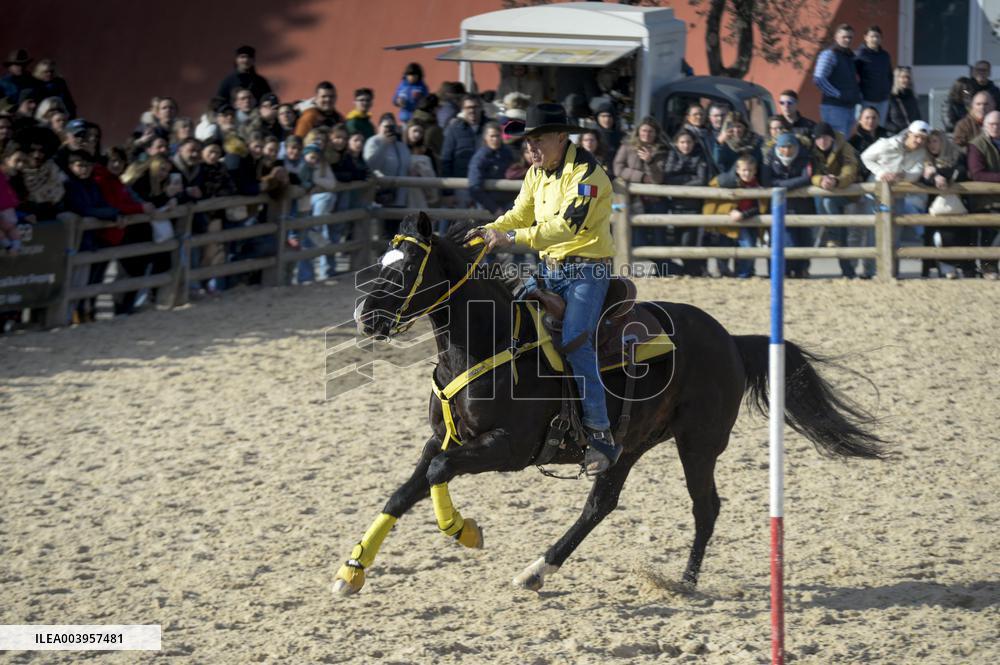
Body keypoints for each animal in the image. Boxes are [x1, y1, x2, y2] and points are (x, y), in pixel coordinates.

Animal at [333, 212, 889, 596]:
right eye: (382, 263)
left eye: (406, 267)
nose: (362, 315)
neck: (488, 342)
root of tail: (731, 339)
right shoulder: (443, 437)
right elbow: (405, 490)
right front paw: (351, 571)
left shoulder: (507, 448)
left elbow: (437, 474)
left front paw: (464, 531)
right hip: (627, 445)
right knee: (601, 504)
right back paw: (538, 572)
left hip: (698, 443)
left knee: (705, 506)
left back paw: (683, 581)